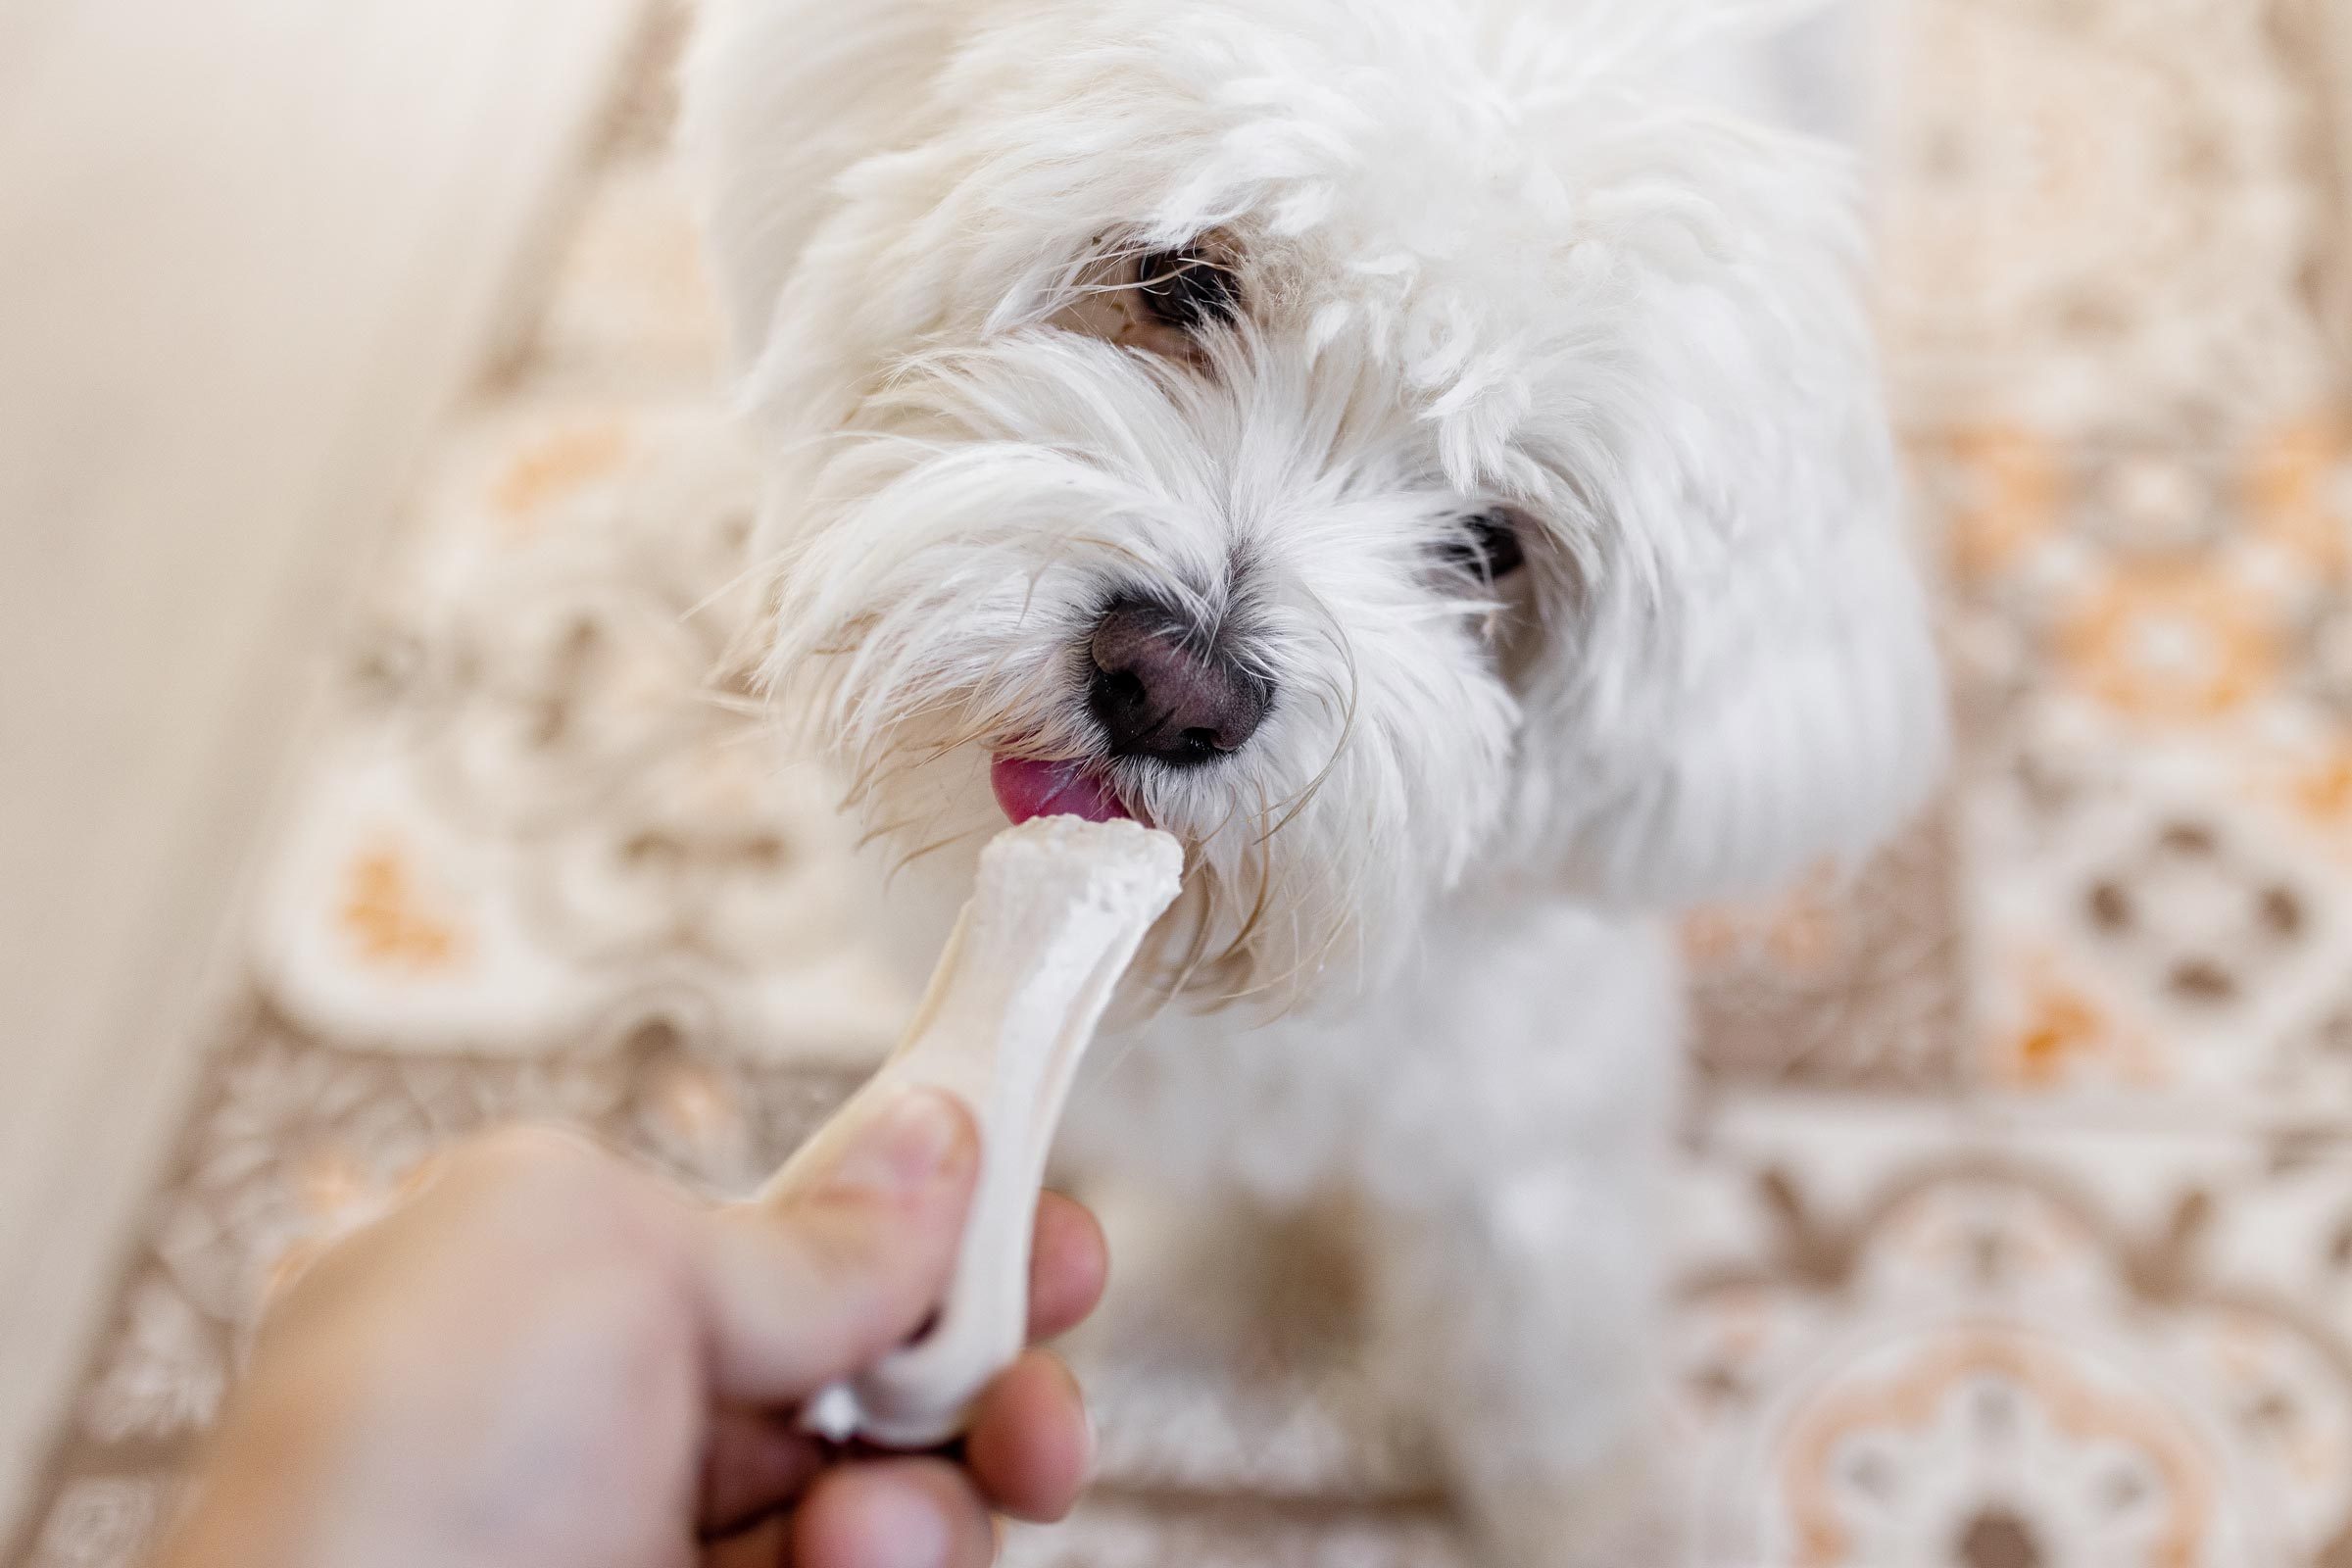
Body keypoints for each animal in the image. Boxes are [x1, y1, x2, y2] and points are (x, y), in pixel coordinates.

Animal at [682, 6, 1947, 1560]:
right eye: (1180, 281)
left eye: (1491, 545)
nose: (1174, 684)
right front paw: (1183, 1292)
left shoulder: (1525, 1127)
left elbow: (1544, 1365)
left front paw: (1596, 1515)